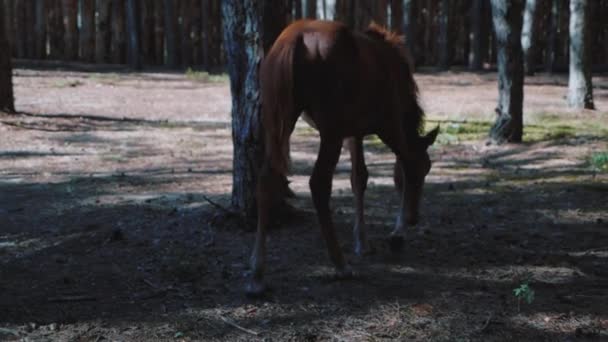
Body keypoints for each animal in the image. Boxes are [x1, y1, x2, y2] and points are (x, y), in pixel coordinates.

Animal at [247, 20, 436, 296]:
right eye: (426, 168)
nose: (414, 217)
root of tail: (294, 40)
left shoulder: (354, 132)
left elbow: (359, 178)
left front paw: (363, 242)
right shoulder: (389, 125)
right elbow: (403, 163)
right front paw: (396, 234)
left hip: (276, 123)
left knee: (265, 179)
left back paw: (257, 274)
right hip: (330, 132)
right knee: (318, 183)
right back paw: (340, 264)